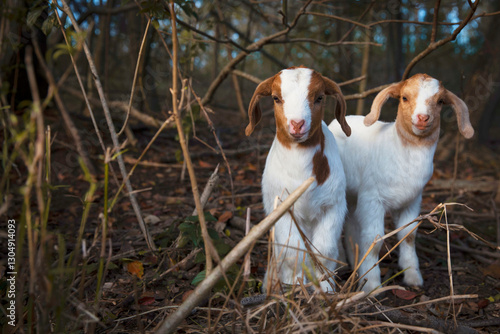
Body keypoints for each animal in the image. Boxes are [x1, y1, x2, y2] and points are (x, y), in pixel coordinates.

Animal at [246, 67, 352, 292]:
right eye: (276, 98)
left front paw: (325, 287)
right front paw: (295, 283)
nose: (297, 124)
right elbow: (293, 250)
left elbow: (325, 248)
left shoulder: (333, 205)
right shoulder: (281, 208)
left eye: (319, 97)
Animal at [328, 73, 472, 292]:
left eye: (440, 101)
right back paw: (340, 264)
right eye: (404, 97)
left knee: (351, 223)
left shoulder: (412, 200)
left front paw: (413, 276)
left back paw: (353, 262)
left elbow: (408, 235)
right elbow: (374, 239)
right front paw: (372, 285)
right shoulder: (372, 199)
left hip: (354, 195)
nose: (422, 118)